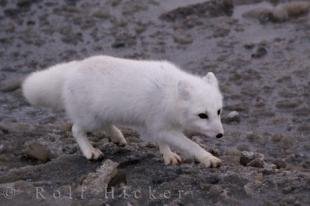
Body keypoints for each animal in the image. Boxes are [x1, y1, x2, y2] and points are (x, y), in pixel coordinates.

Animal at [23, 56, 224, 167]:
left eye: (219, 111)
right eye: (202, 115)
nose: (220, 135)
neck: (169, 95)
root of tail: (72, 69)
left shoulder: (156, 125)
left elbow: (162, 142)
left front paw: (168, 155)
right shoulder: (161, 125)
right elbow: (191, 145)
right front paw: (209, 158)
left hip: (101, 115)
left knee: (106, 124)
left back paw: (117, 137)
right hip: (90, 119)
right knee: (75, 129)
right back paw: (90, 151)